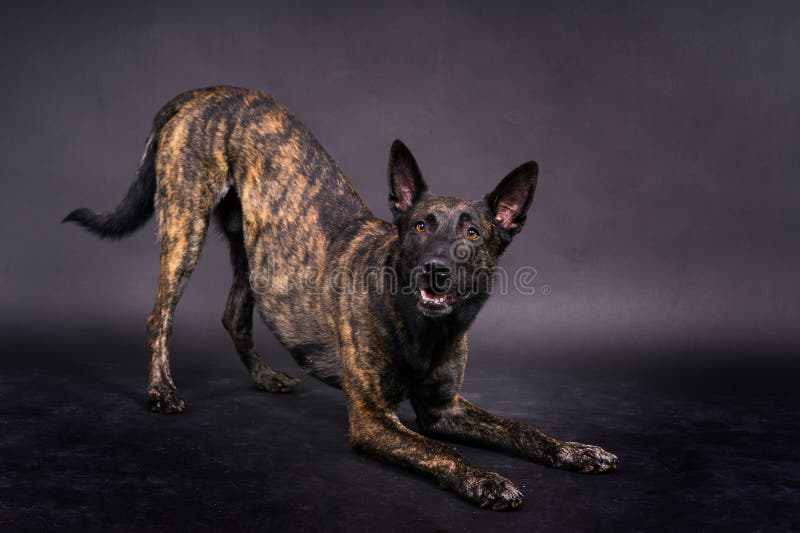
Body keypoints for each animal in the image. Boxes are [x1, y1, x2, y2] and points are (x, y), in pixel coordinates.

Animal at [67, 86, 620, 508]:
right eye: (420, 226)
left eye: (473, 234)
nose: (436, 270)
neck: (423, 328)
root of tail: (207, 92)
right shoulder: (374, 420)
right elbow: (443, 453)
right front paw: (486, 479)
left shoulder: (445, 409)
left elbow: (522, 428)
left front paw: (575, 450)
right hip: (186, 226)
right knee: (159, 315)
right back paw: (162, 391)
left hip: (255, 252)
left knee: (234, 315)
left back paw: (265, 377)